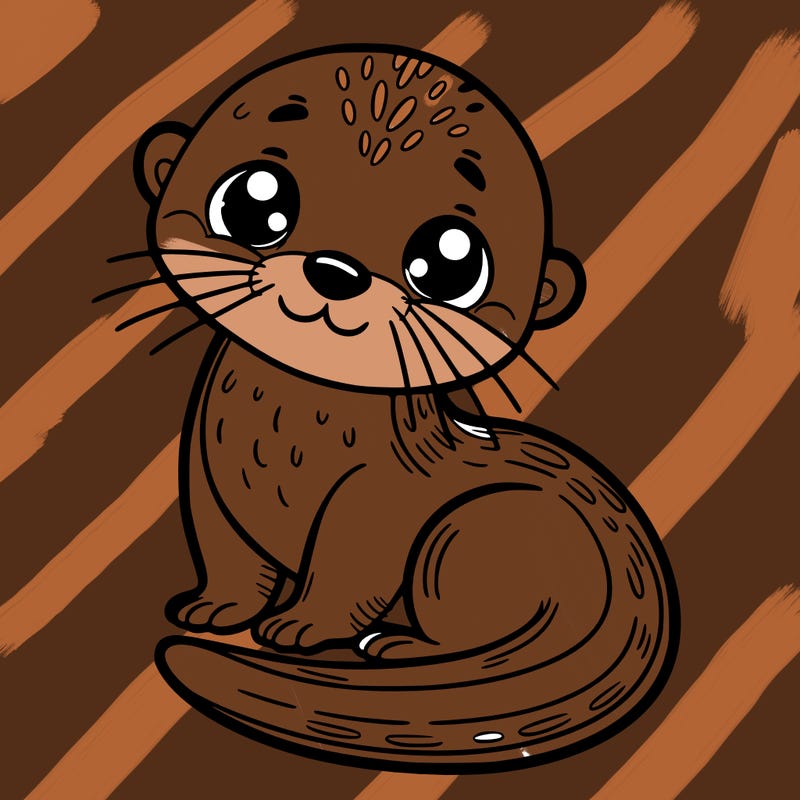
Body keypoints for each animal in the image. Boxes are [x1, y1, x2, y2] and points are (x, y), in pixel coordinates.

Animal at [131, 44, 679, 772]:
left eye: (450, 262)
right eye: (255, 201)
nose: (336, 270)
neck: (282, 436)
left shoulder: (377, 495)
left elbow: (350, 565)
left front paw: (302, 625)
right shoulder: (202, 464)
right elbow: (227, 552)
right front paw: (214, 608)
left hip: (469, 531)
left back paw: (399, 646)